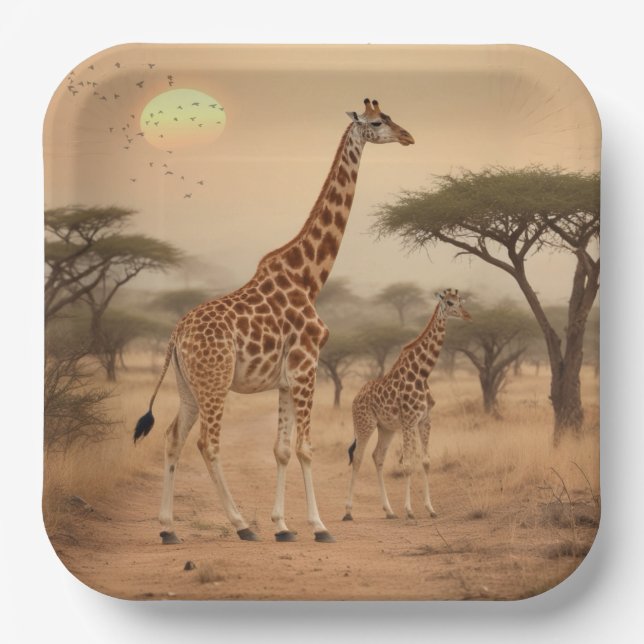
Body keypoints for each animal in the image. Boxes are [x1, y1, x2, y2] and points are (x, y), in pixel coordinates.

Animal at [133, 99, 415, 544]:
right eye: (376, 122)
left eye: (390, 117)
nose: (407, 136)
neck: (310, 278)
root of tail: (175, 335)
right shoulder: (306, 367)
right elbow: (304, 448)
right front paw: (318, 526)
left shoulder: (285, 378)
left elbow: (281, 450)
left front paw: (283, 526)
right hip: (215, 381)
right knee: (207, 444)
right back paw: (241, 525)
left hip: (188, 385)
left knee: (172, 437)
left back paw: (168, 529)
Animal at [343, 288, 470, 522]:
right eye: (449, 303)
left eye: (461, 301)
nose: (467, 315)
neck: (422, 373)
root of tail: (355, 398)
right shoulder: (409, 421)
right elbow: (408, 463)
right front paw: (410, 510)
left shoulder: (425, 420)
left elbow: (426, 461)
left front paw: (430, 509)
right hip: (365, 424)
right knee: (357, 457)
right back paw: (348, 511)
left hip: (386, 428)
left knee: (377, 457)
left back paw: (389, 511)